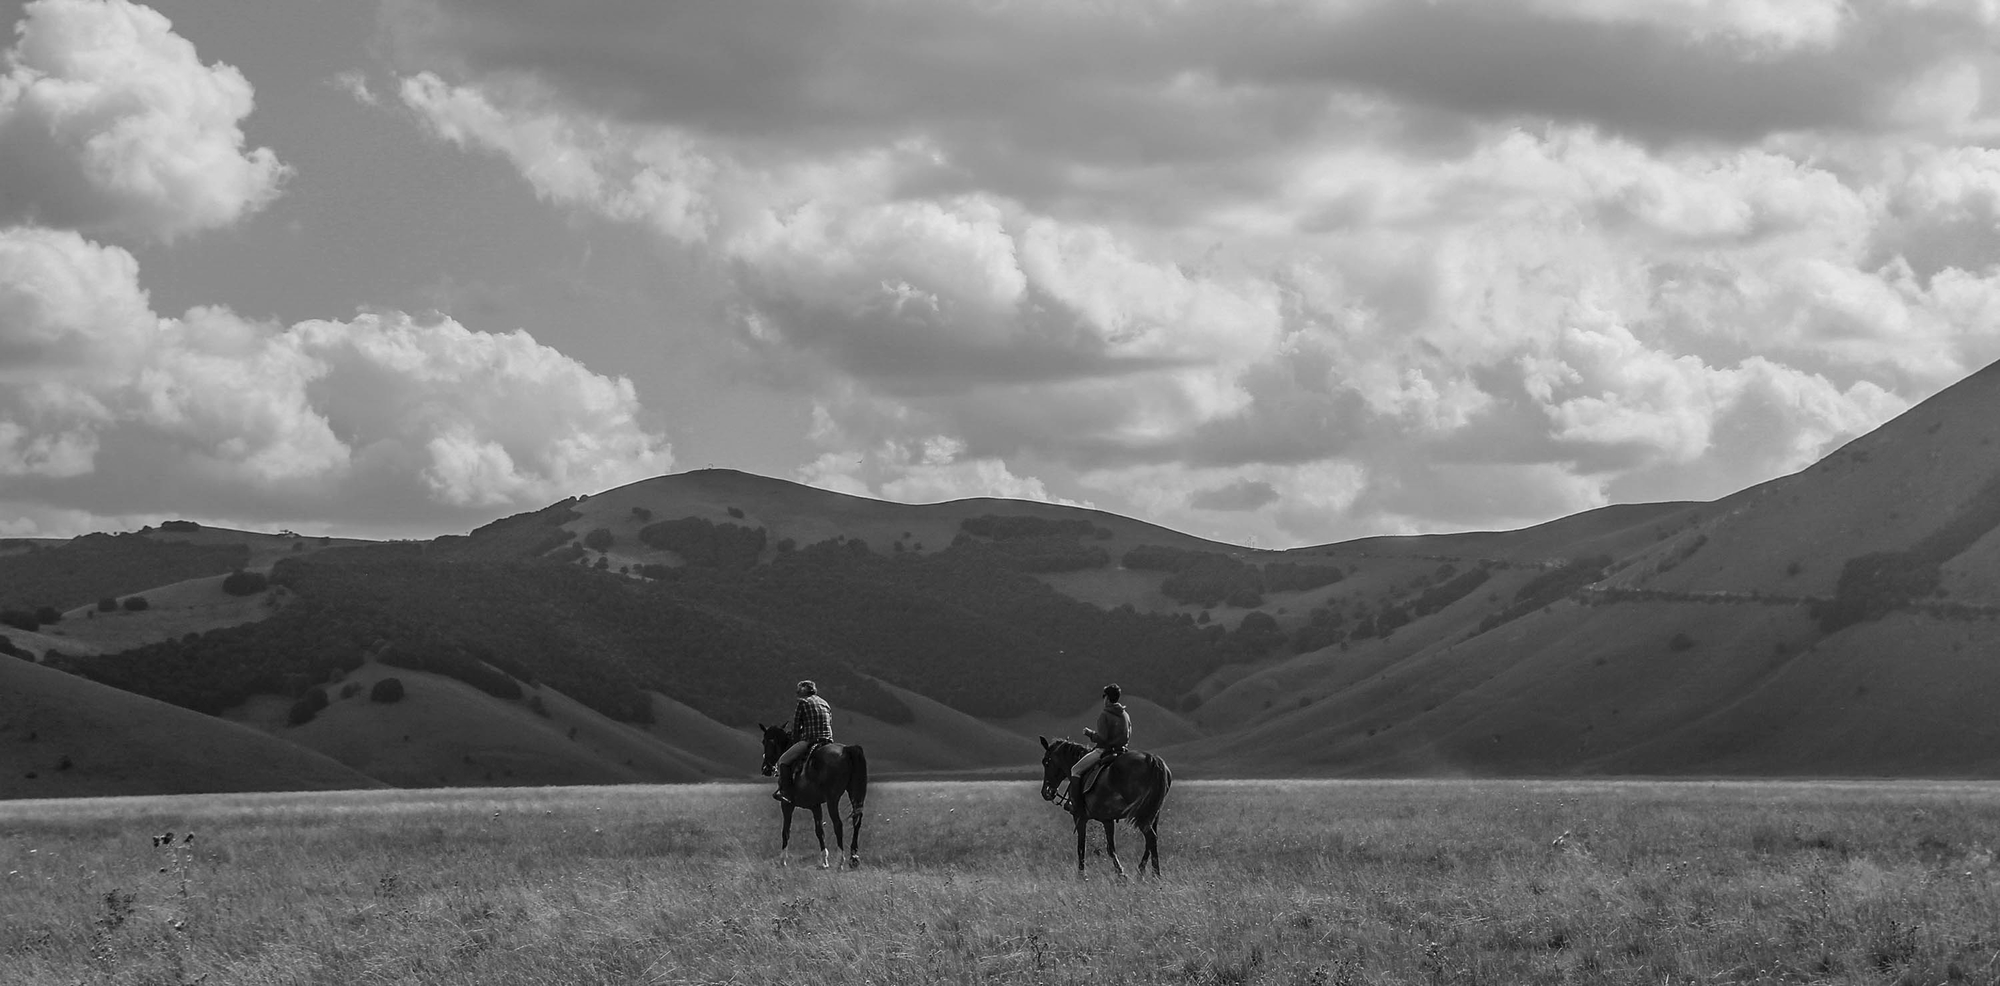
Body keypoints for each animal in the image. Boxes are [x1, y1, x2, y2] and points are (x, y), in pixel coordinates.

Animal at [756, 724, 868, 868]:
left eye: (764, 741)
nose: (766, 769)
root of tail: (847, 750)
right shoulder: (815, 805)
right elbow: (819, 831)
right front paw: (824, 861)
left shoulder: (786, 804)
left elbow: (786, 831)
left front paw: (782, 860)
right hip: (855, 794)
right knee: (857, 821)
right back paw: (853, 858)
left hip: (832, 799)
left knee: (838, 824)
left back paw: (840, 860)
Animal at [1040, 736, 1168, 876]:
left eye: (1046, 762)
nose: (1046, 792)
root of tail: (1151, 758)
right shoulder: (1107, 820)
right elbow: (1110, 848)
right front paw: (1121, 874)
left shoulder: (1080, 818)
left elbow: (1081, 847)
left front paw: (1081, 876)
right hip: (1152, 813)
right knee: (1151, 840)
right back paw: (1145, 871)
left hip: (1142, 815)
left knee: (1151, 837)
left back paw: (1154, 874)